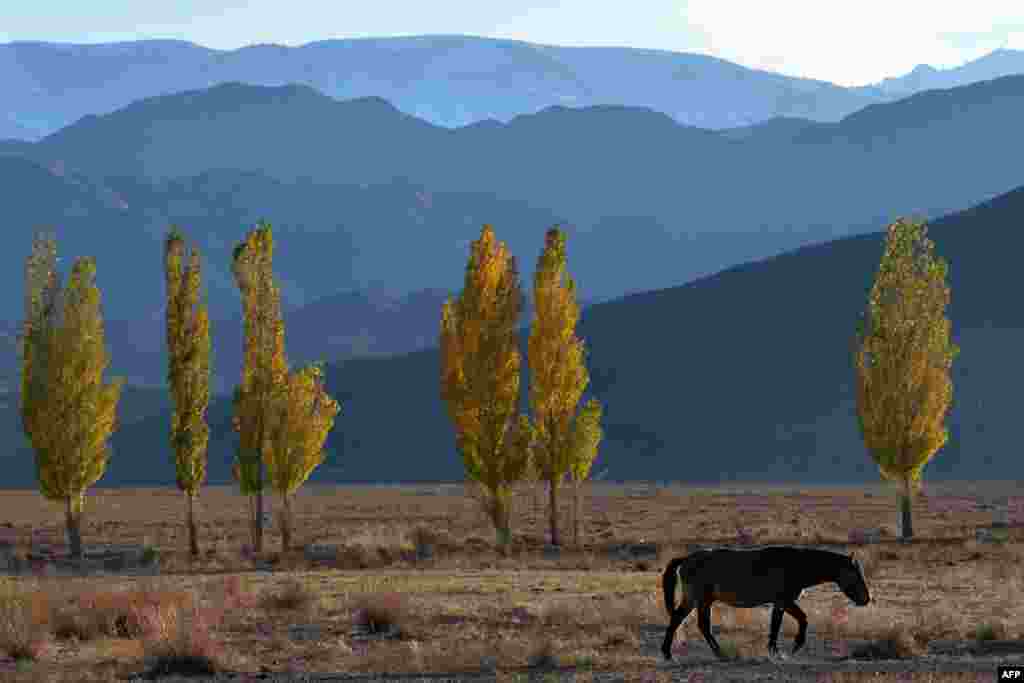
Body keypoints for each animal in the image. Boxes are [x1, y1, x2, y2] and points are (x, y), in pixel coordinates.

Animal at [659, 544, 868, 663]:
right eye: (856, 574)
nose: (866, 599)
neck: (797, 564)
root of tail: (686, 559)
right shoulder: (785, 601)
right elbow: (798, 620)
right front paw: (790, 647)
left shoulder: (780, 603)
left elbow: (777, 625)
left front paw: (776, 651)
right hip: (699, 600)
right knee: (693, 623)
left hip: (699, 601)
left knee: (685, 621)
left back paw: (673, 653)